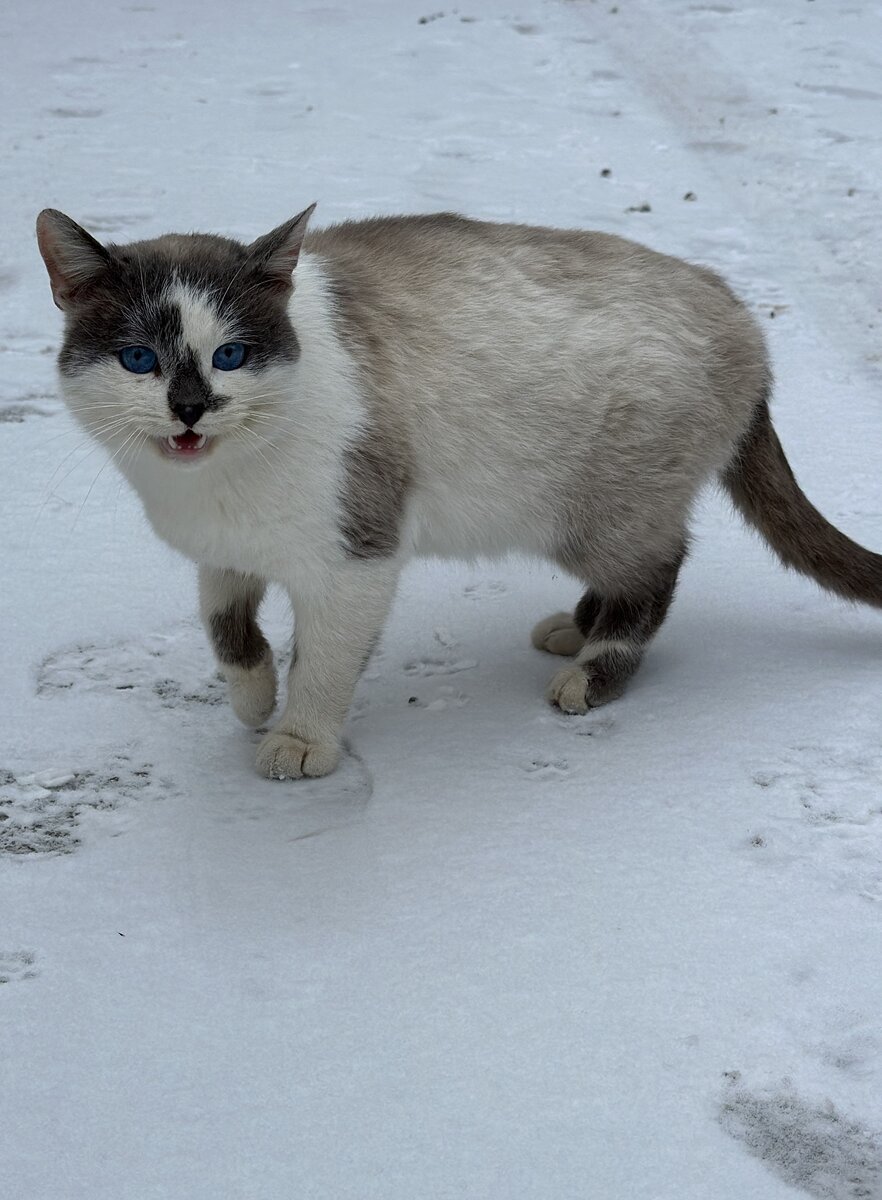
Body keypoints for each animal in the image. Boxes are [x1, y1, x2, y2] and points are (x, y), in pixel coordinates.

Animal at [36, 206, 882, 782]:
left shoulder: (356, 563)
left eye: (231, 356)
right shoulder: (224, 553)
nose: (190, 408)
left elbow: (321, 667)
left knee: (657, 571)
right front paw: (251, 700)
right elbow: (228, 634)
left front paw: (300, 739)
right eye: (139, 359)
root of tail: (735, 306)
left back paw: (589, 672)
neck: (211, 482)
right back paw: (573, 628)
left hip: (590, 516)